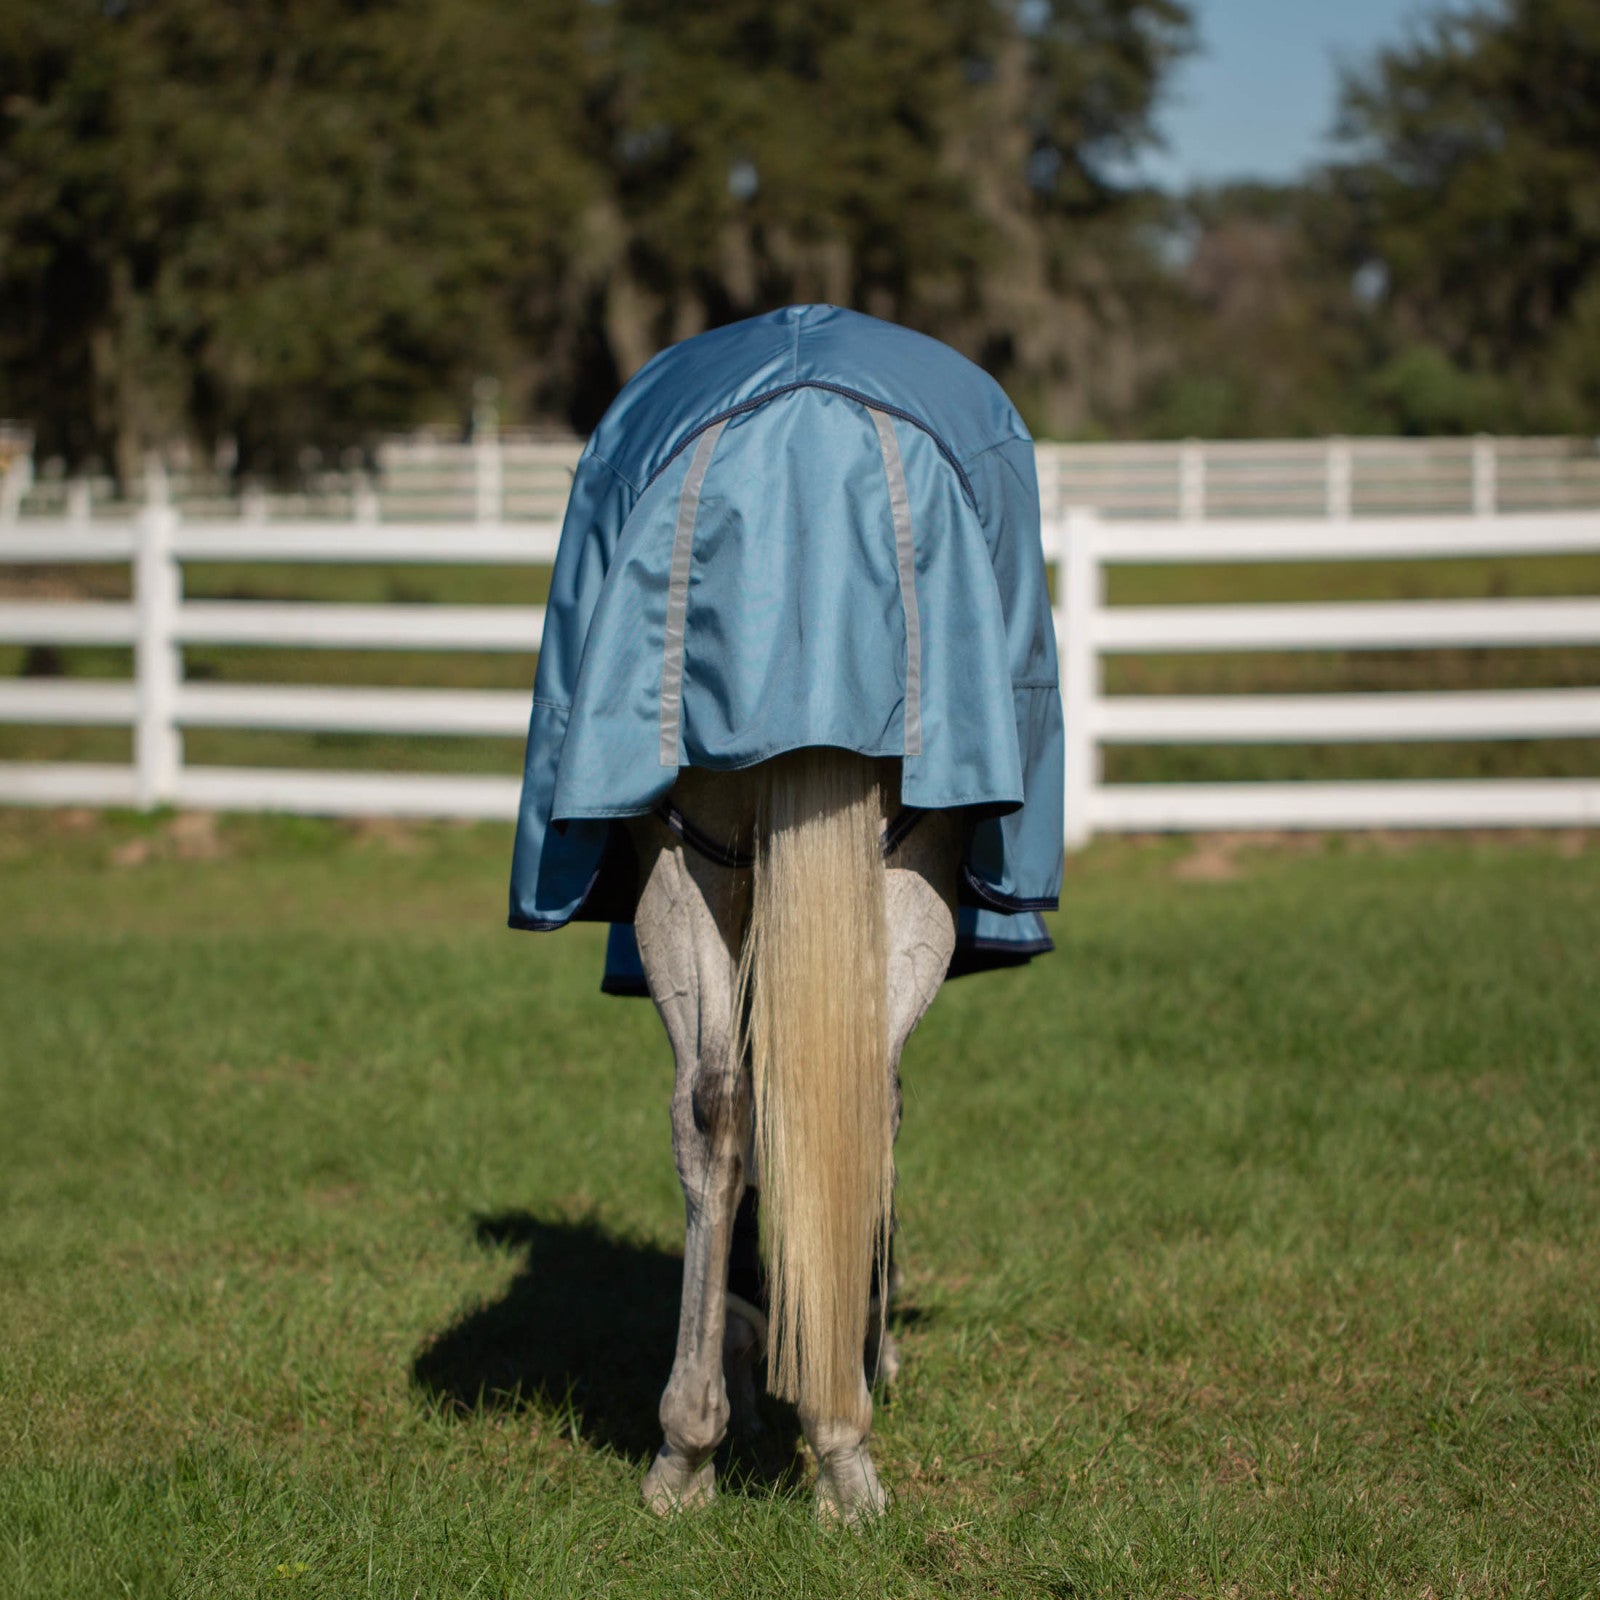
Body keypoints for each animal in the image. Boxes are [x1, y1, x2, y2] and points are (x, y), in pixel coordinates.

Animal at [508, 305, 1062, 1516]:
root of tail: (801, 442)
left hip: (683, 859)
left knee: (715, 1109)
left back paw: (692, 1446)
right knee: (852, 1095)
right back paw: (839, 1430)